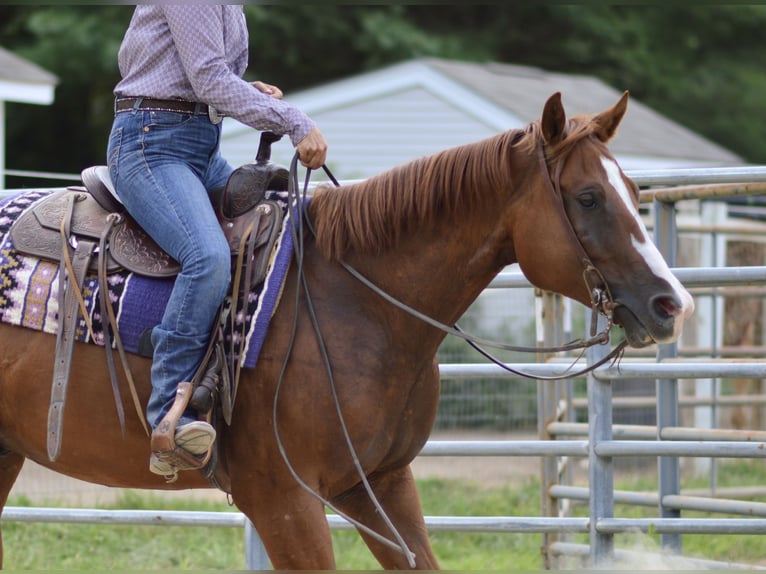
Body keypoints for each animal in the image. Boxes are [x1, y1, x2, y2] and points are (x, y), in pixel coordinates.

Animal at [0, 92, 696, 568]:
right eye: (587, 197)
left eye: (632, 189)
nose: (673, 304)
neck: (355, 303)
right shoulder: (285, 500)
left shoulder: (379, 485)